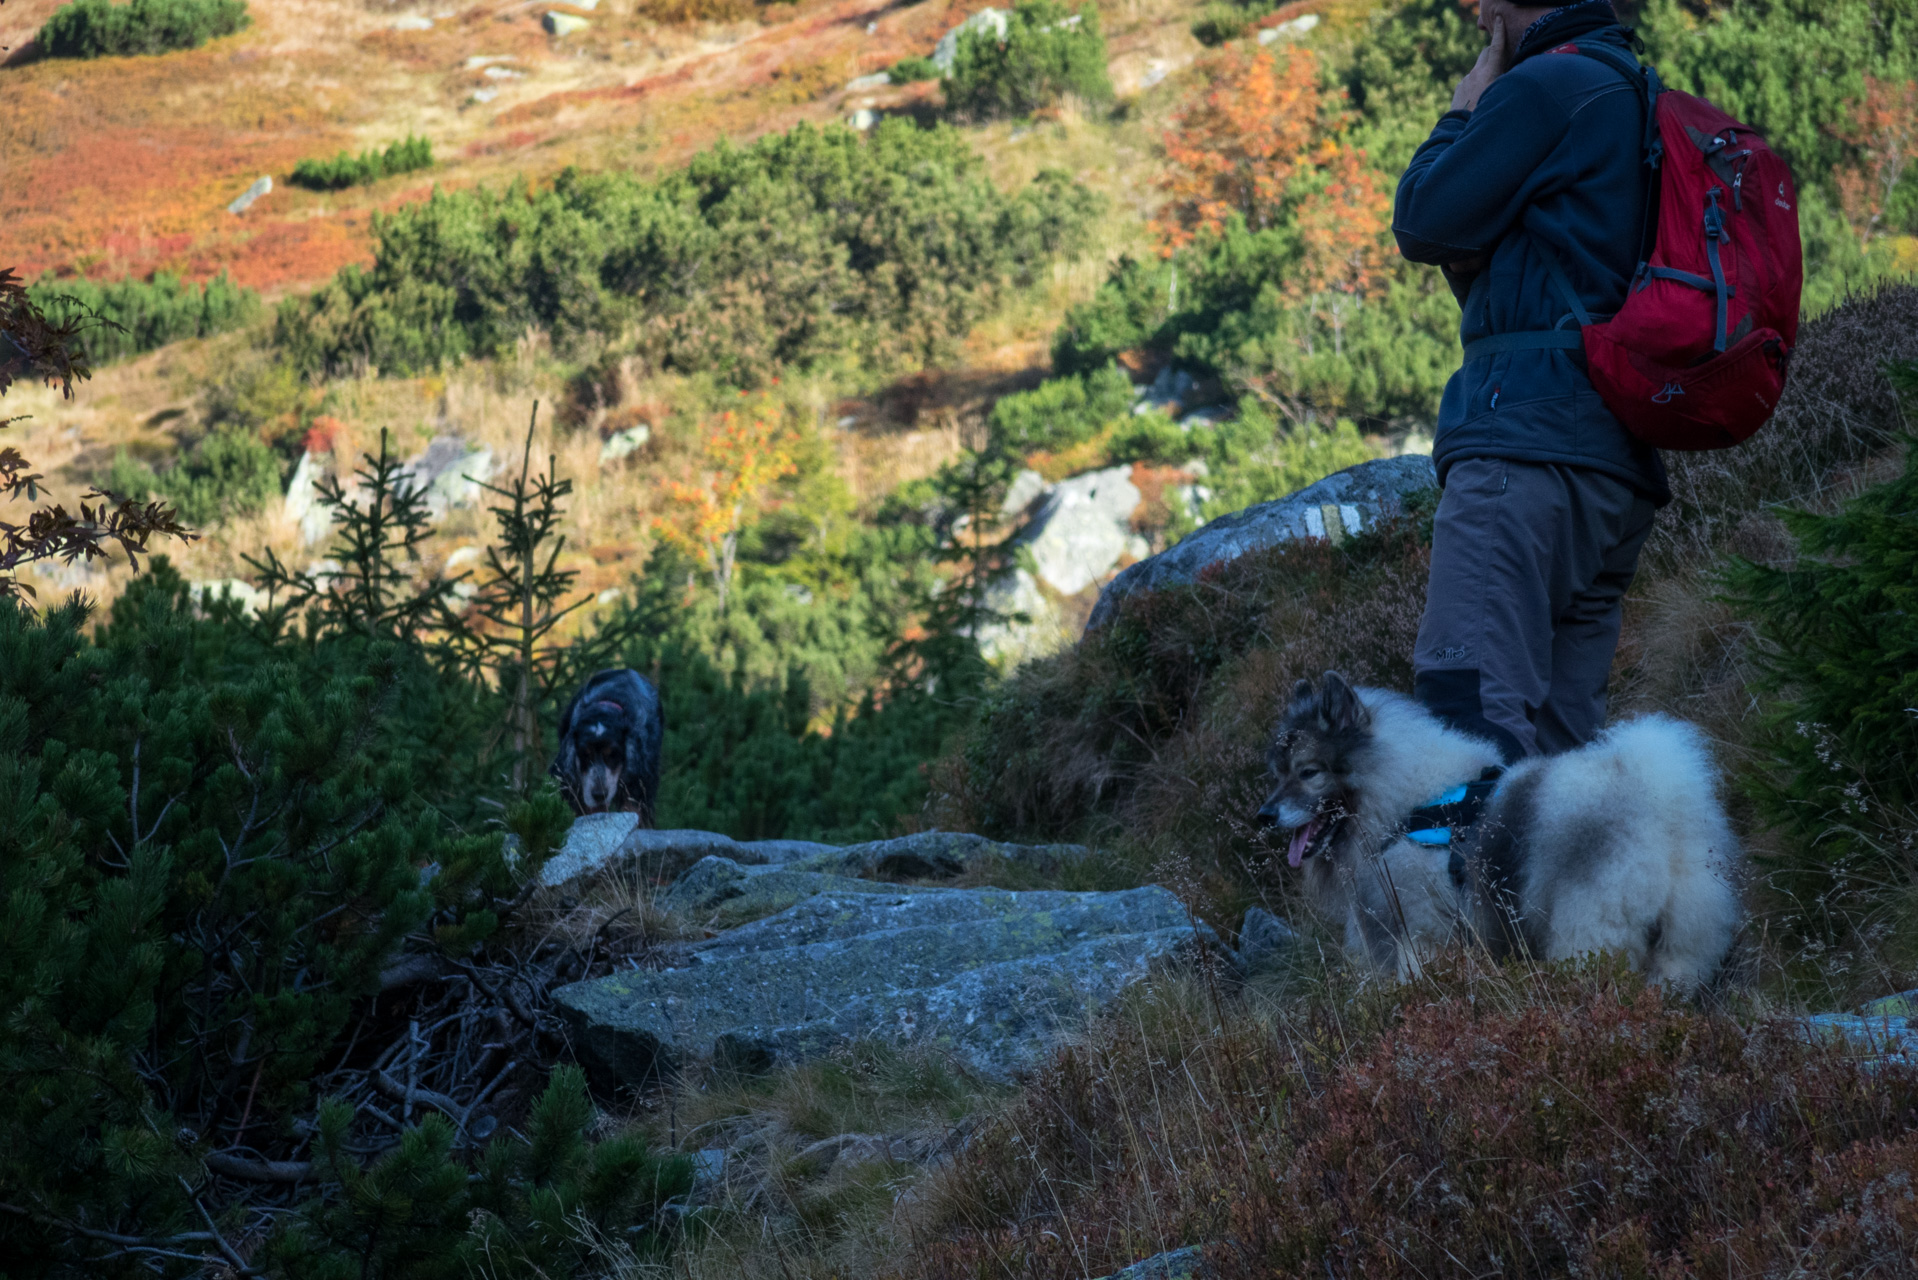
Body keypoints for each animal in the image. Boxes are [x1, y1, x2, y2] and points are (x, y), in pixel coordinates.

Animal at [1250, 671, 1749, 990]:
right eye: (1276, 774)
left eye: (1308, 772)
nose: (1264, 815)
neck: (1403, 802)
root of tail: (1658, 796)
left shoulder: (1420, 936)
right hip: (1680, 950)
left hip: (1584, 939)